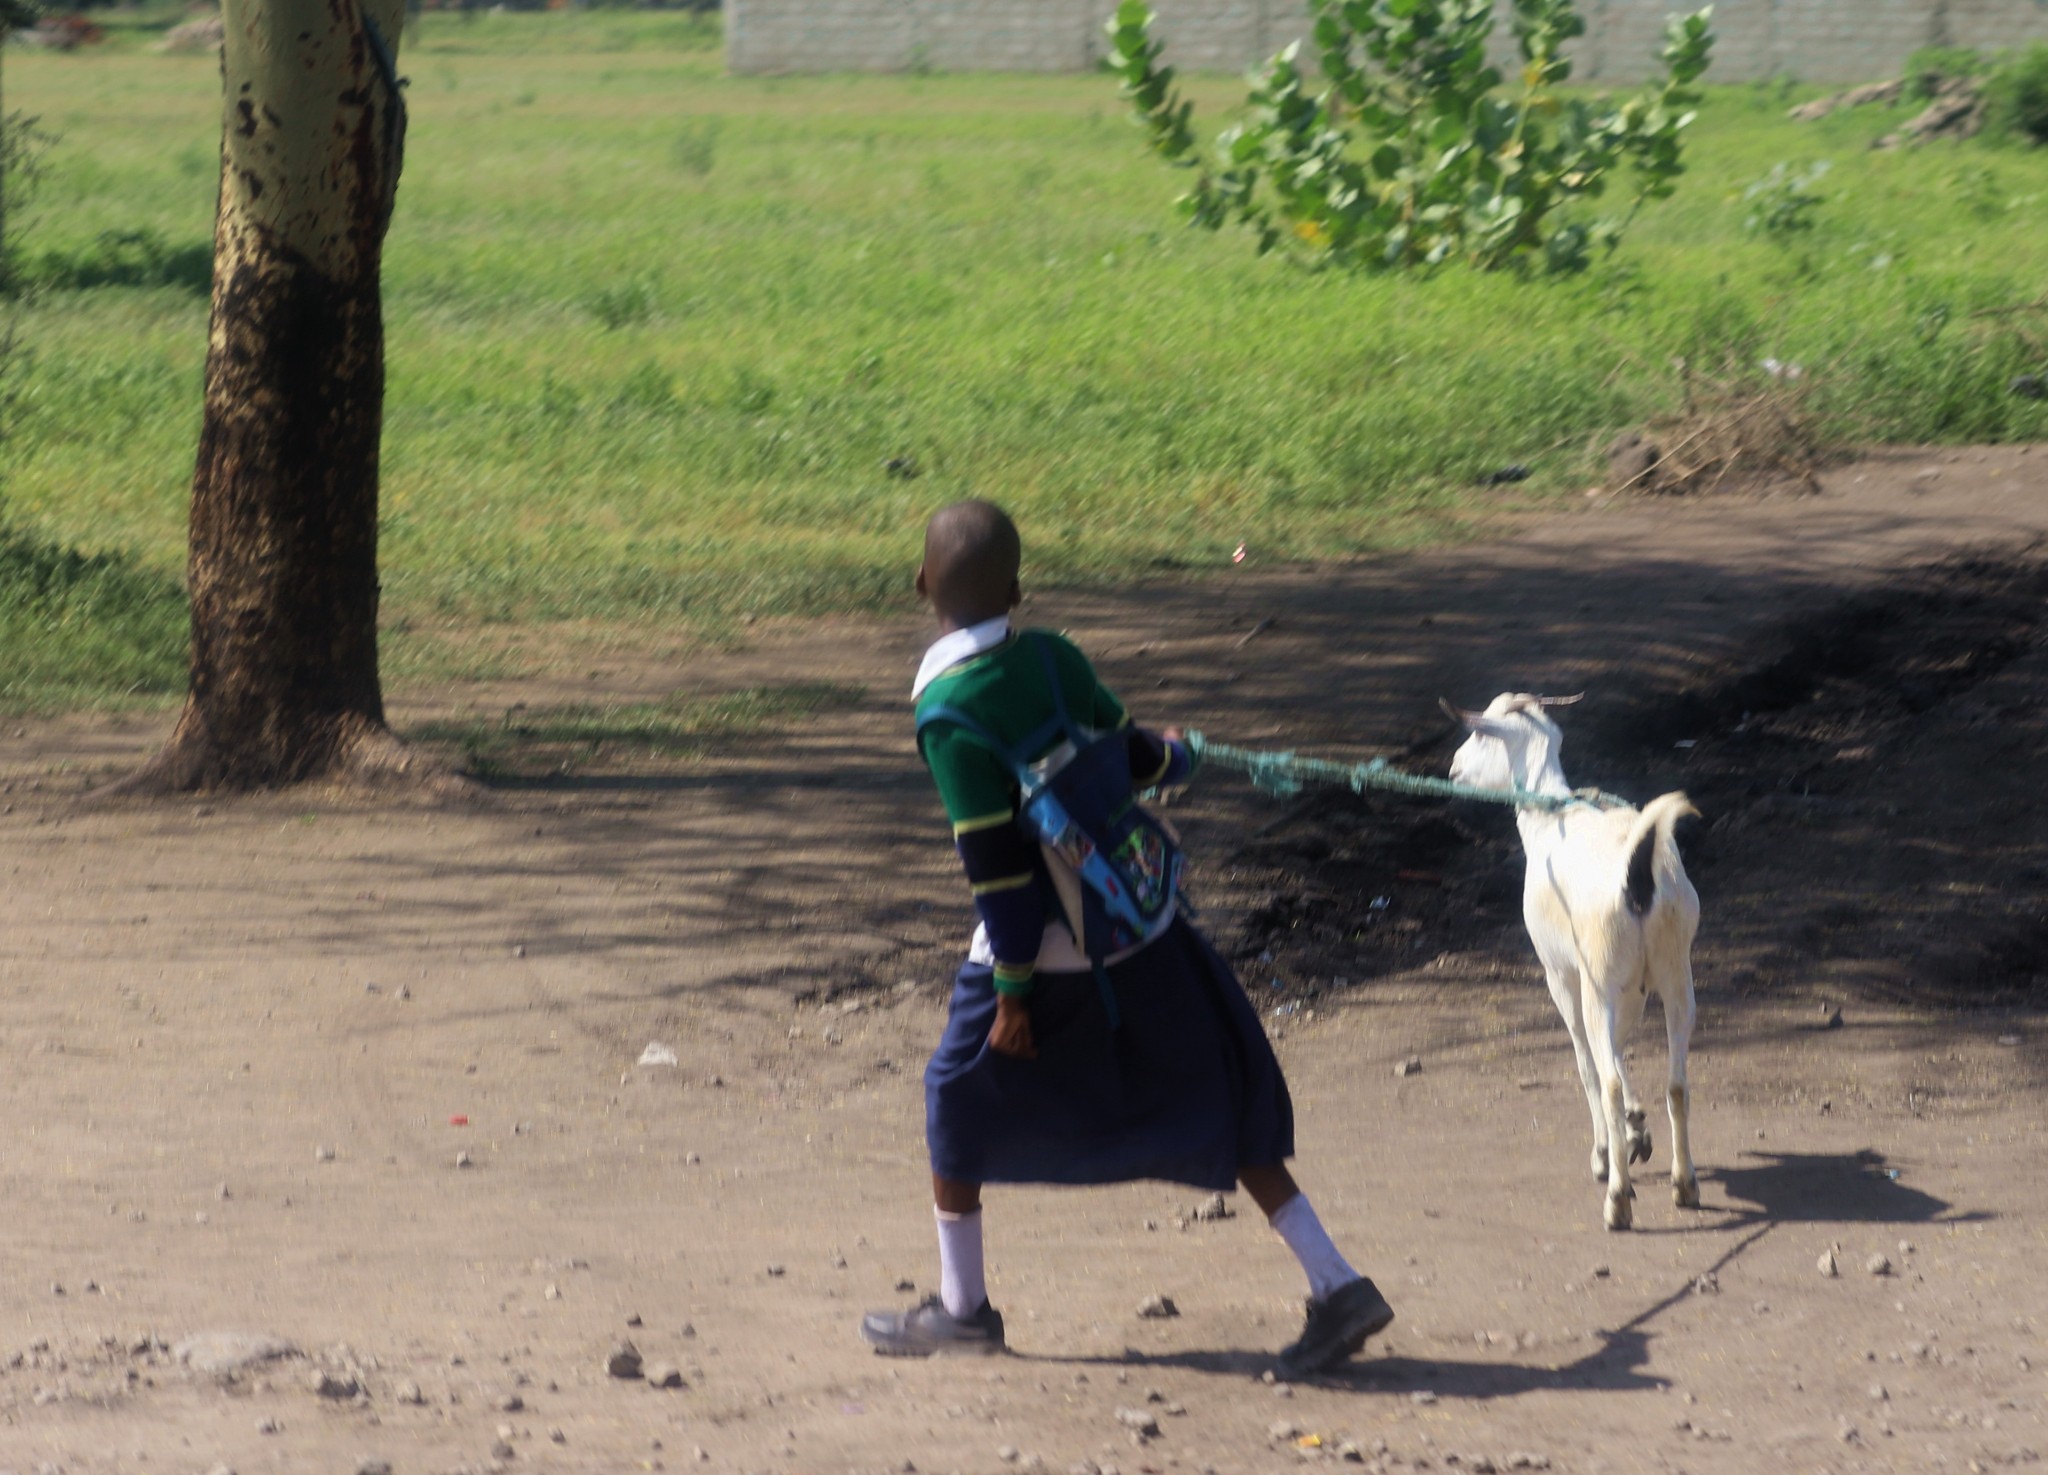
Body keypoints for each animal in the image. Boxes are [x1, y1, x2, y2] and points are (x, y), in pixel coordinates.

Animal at [1449, 692, 1703, 1229]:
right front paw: (1636, 1130)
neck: (1549, 823)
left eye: (1480, 732)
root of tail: (1638, 874)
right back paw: (1685, 1184)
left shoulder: (1563, 974)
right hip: (1675, 973)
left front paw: (1609, 1151)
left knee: (1604, 1078)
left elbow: (1588, 1059)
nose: (1455, 768)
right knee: (1676, 1082)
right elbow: (1621, 1045)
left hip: (1598, 976)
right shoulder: (1634, 986)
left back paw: (1617, 1200)